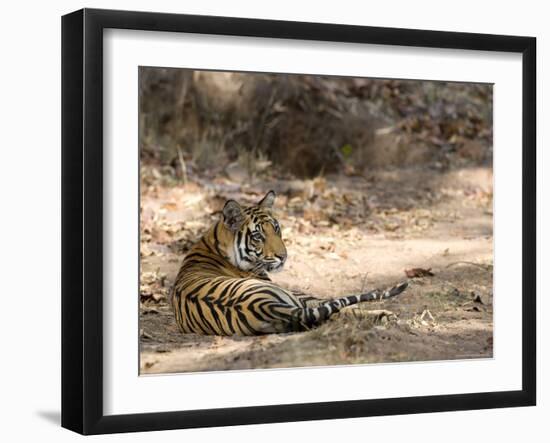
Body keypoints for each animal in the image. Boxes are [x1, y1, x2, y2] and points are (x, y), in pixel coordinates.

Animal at [172, 191, 410, 336]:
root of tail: (265, 305)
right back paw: (384, 316)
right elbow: (336, 302)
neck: (213, 242)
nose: (283, 256)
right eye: (258, 236)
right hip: (294, 299)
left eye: (276, 228)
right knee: (335, 311)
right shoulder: (304, 296)